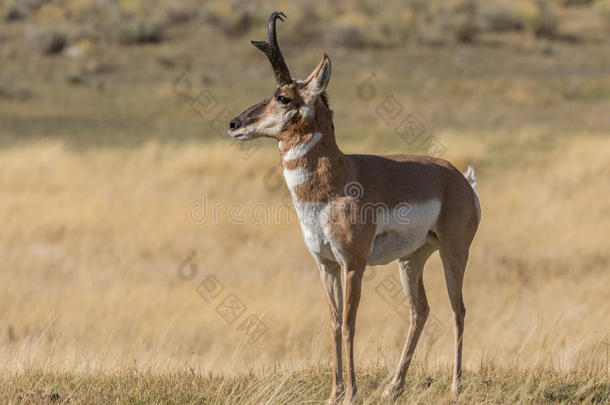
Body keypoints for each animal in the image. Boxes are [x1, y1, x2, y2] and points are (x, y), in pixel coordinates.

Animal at [228, 11, 480, 402]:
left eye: (283, 97)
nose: (234, 123)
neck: (338, 179)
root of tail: (460, 178)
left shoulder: (353, 264)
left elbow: (349, 323)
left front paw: (351, 392)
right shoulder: (326, 265)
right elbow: (333, 323)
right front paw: (334, 393)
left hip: (453, 254)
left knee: (458, 310)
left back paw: (454, 387)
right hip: (412, 260)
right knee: (419, 311)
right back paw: (393, 387)